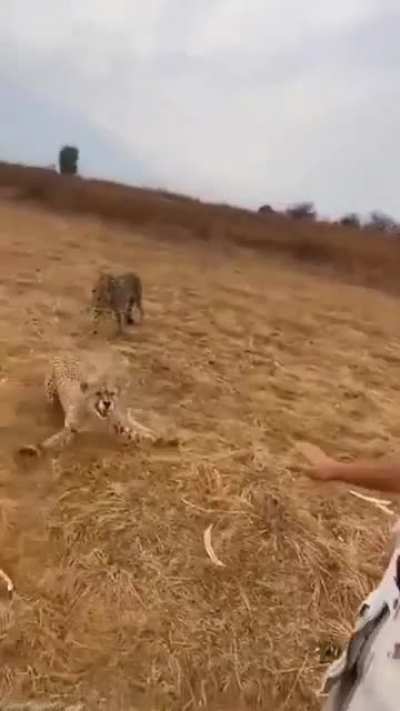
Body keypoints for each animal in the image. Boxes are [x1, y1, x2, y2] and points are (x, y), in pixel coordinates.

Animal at [18, 349, 155, 457]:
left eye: (111, 393)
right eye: (98, 393)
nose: (107, 403)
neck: (94, 415)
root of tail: (65, 351)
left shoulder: (118, 422)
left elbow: (137, 430)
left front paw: (153, 437)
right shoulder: (72, 428)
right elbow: (54, 440)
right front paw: (36, 448)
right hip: (50, 393)